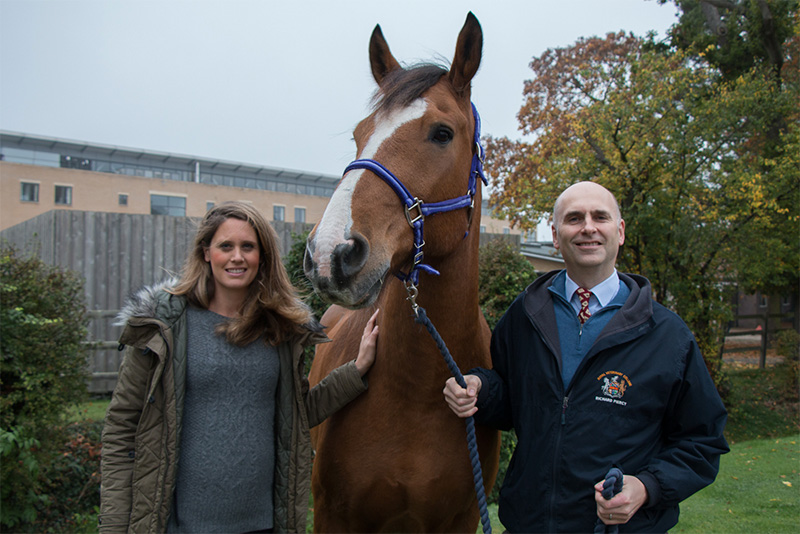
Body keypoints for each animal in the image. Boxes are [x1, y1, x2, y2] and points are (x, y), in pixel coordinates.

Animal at [304, 13, 500, 534]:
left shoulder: (461, 519)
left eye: (442, 133)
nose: (330, 253)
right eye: (359, 134)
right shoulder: (332, 514)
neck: (416, 394)